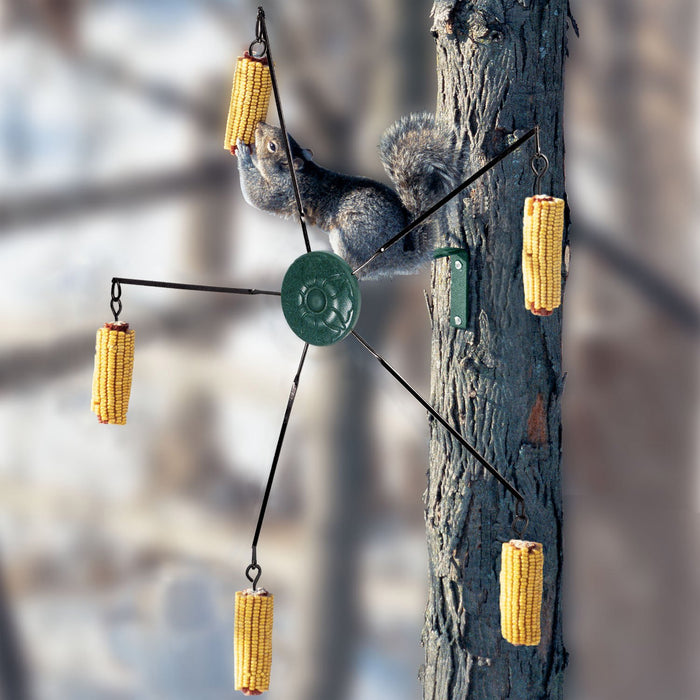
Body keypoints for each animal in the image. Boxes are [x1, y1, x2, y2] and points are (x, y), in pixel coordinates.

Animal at [235, 113, 458, 279]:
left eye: (272, 146)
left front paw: (243, 154)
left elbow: (257, 195)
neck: (301, 171)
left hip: (349, 238)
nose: (259, 125)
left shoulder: (285, 190)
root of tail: (397, 259)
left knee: (358, 272)